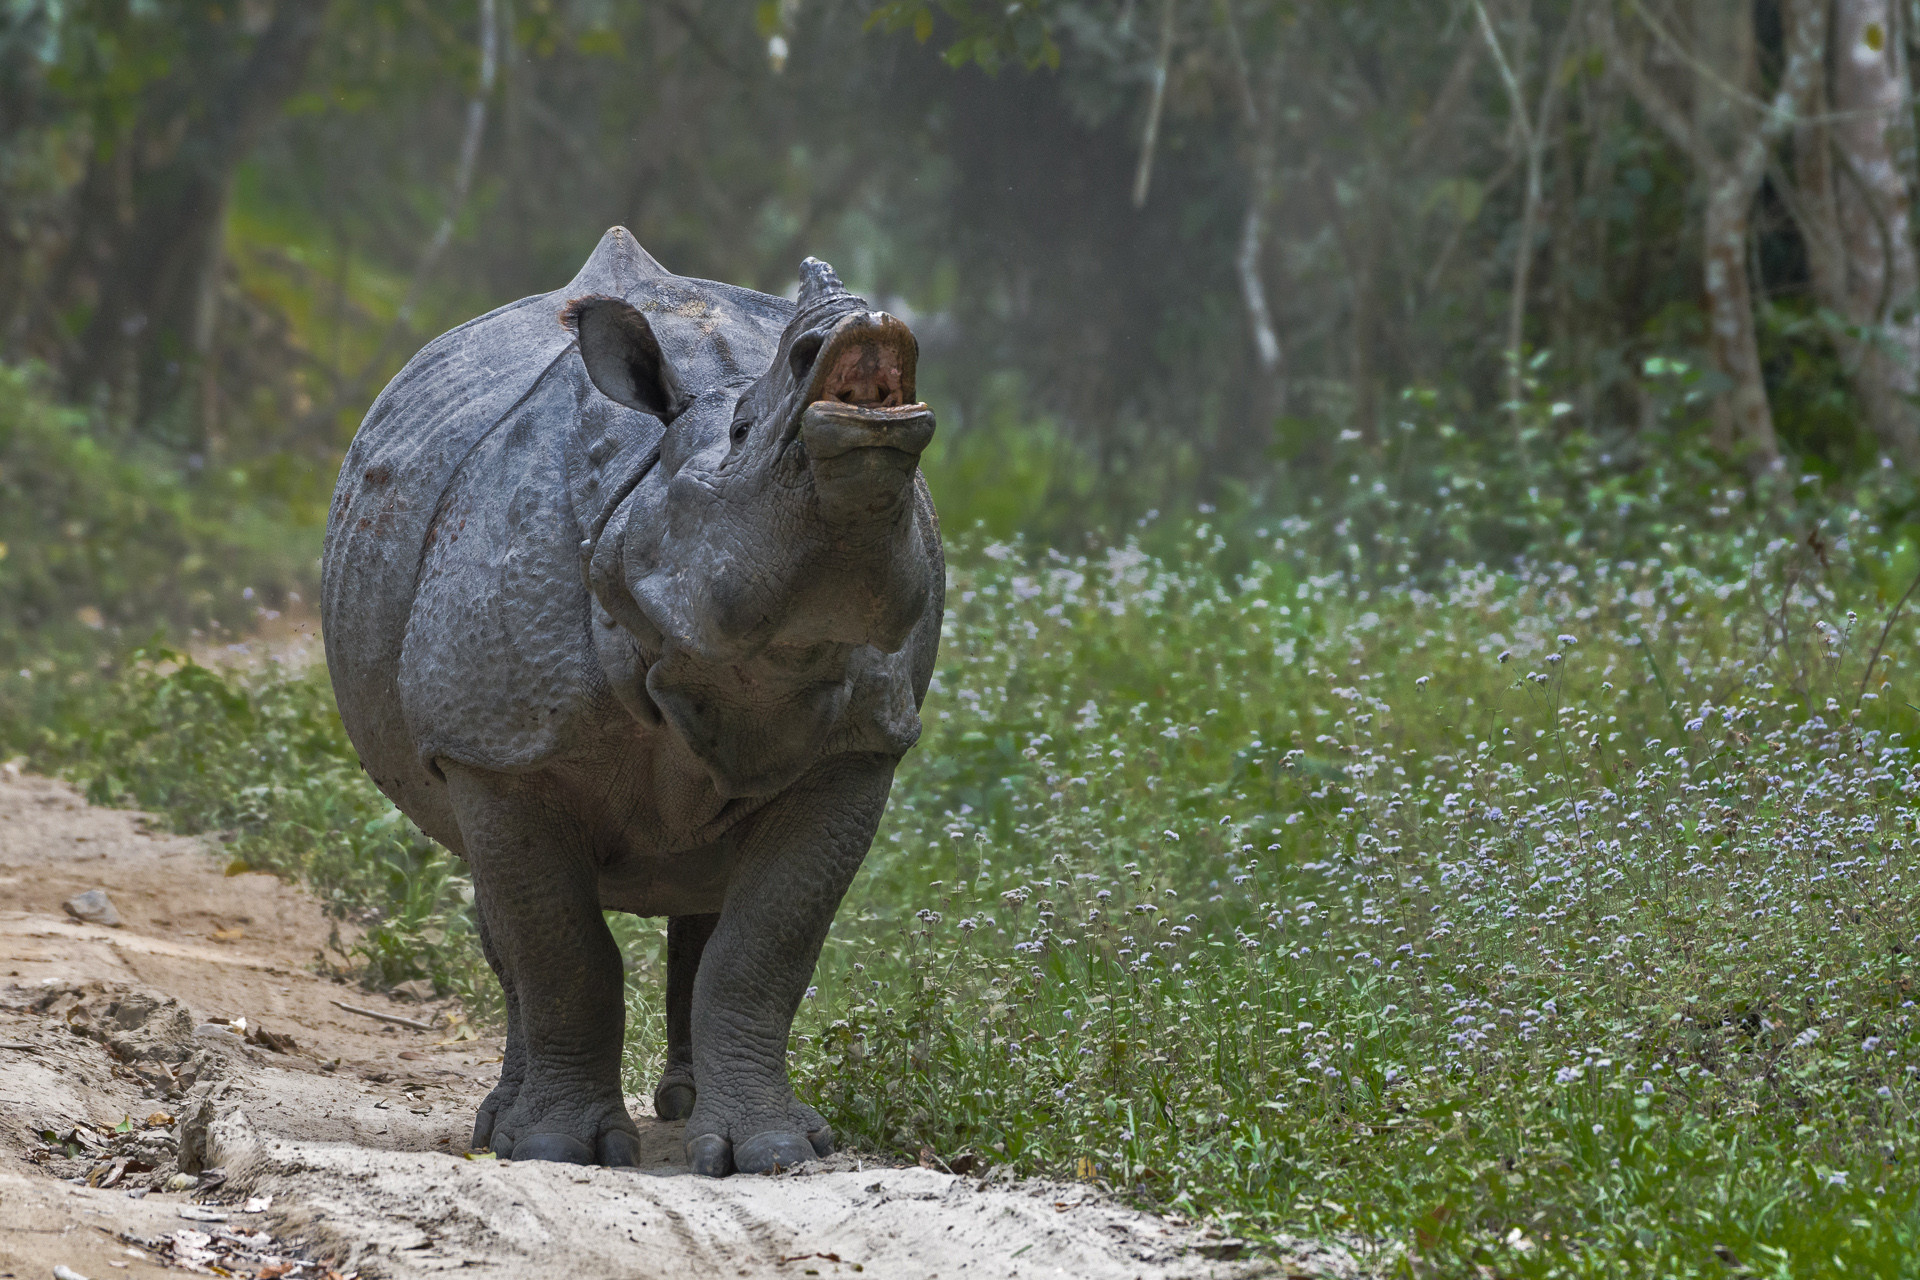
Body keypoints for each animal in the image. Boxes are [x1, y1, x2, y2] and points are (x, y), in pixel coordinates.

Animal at [321, 228, 942, 1175]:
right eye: (742, 430)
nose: (853, 321)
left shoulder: (860, 744)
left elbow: (765, 948)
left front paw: (774, 1153)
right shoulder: (499, 745)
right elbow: (560, 948)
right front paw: (554, 1148)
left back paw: (684, 1111)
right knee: (501, 900)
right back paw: (504, 1128)